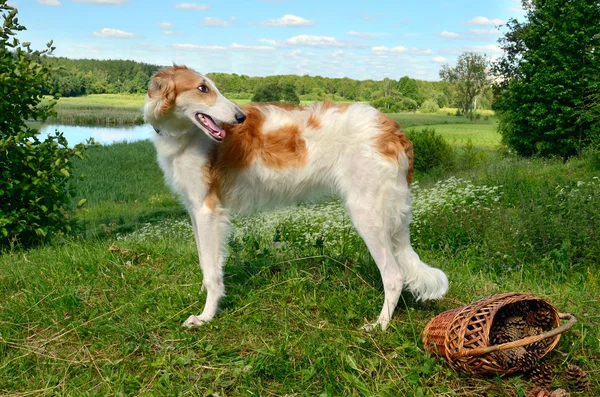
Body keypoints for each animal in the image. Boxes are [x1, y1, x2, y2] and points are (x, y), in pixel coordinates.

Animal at [143, 65, 448, 330]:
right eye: (203, 88)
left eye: (211, 87)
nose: (240, 117)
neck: (185, 134)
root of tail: (392, 128)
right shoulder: (195, 210)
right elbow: (205, 261)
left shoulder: (208, 211)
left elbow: (211, 271)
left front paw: (206, 316)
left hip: (368, 216)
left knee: (394, 276)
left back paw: (380, 325)